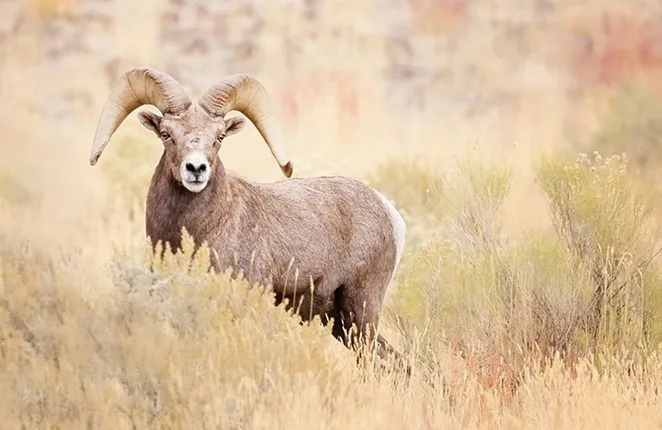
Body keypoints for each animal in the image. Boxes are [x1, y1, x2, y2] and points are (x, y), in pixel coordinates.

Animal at [89, 67, 408, 367]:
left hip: (360, 311)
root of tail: (390, 213)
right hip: (339, 322)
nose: (196, 169)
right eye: (167, 135)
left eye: (219, 137)